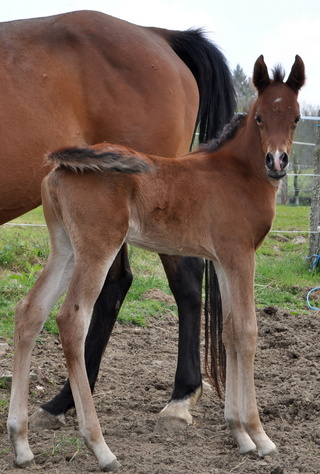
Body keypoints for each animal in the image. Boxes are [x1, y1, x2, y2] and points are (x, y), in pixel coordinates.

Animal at [8, 55, 304, 470]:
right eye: (260, 117)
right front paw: (259, 435)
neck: (238, 174)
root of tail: (63, 163)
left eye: (295, 118)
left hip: (65, 248)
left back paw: (20, 443)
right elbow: (247, 332)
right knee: (71, 319)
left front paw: (239, 434)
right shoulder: (240, 255)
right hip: (97, 248)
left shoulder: (225, 260)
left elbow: (229, 331)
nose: (277, 161)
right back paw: (100, 447)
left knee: (30, 311)